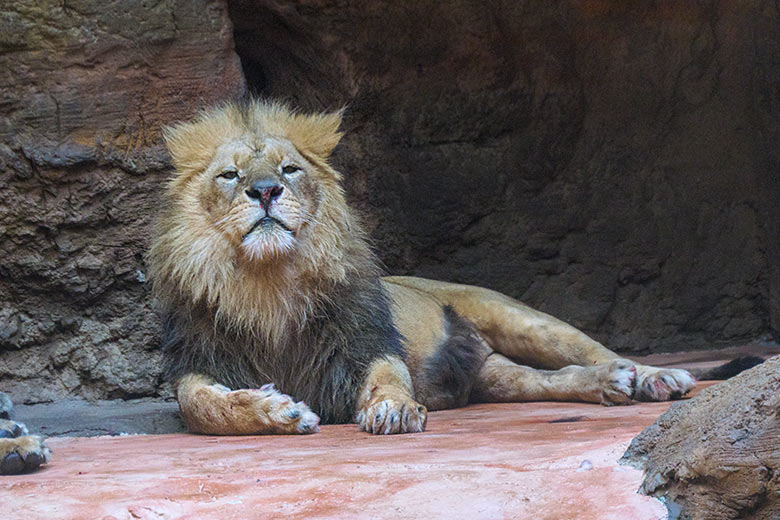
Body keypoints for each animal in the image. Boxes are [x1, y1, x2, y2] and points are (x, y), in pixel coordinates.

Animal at [146, 99, 696, 436]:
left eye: (290, 169)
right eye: (230, 175)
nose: (265, 190)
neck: (267, 282)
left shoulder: (365, 343)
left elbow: (389, 378)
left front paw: (392, 410)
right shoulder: (198, 365)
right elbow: (207, 407)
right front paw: (277, 410)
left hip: (516, 317)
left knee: (593, 349)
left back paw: (653, 378)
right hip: (492, 374)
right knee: (546, 380)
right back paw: (607, 385)